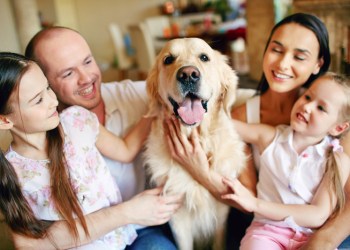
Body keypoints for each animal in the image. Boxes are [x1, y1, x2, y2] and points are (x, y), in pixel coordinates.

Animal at [144, 37, 245, 250]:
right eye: (168, 60)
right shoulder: (177, 216)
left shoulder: (221, 214)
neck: (196, 136)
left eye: (204, 57)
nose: (188, 74)